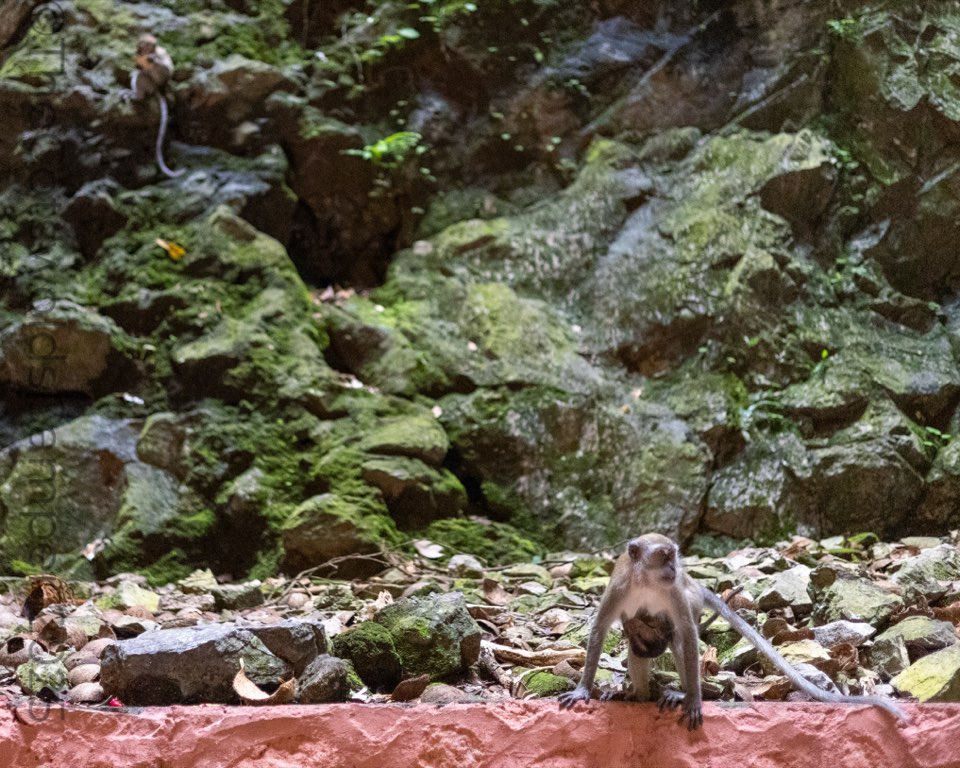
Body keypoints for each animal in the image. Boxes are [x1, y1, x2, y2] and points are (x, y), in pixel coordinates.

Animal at [122, 33, 184, 178]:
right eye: (144, 46)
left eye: (151, 46)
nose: (147, 51)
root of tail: (156, 89)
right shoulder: (138, 54)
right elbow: (136, 64)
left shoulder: (159, 54)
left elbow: (166, 66)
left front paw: (152, 59)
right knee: (137, 73)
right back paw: (133, 92)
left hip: (152, 83)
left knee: (144, 75)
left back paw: (138, 96)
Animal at [558, 533, 909, 729]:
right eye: (663, 556)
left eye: (674, 556)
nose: (674, 569)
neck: (646, 583)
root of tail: (696, 585)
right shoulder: (619, 588)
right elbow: (600, 629)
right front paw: (584, 690)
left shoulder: (674, 595)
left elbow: (687, 635)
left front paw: (693, 699)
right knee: (639, 645)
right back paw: (637, 694)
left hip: (690, 598)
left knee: (679, 640)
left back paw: (679, 692)